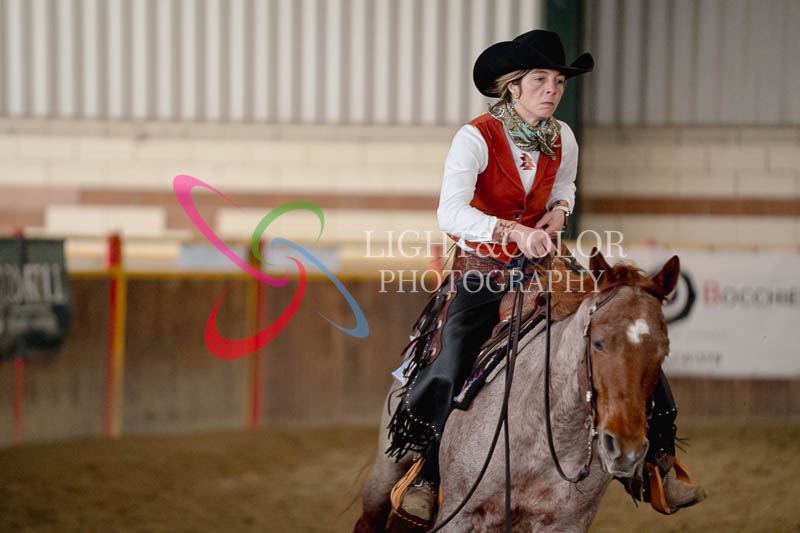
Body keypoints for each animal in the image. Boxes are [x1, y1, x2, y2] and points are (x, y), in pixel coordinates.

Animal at [355, 250, 680, 532]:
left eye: (664, 350)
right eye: (598, 343)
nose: (625, 450)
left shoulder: (567, 524)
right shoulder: (459, 516)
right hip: (386, 473)